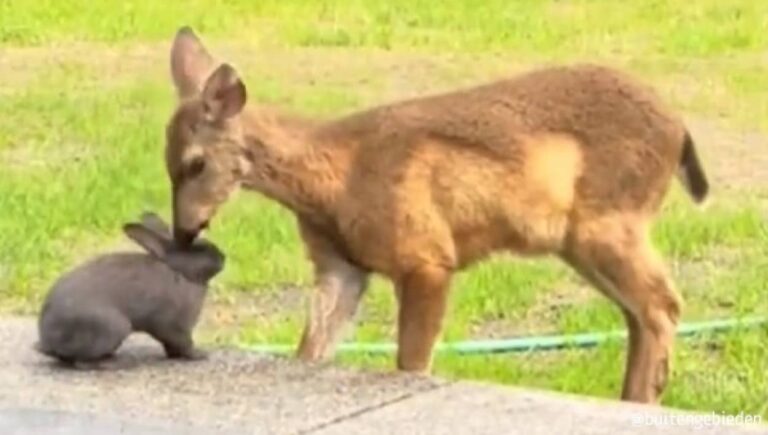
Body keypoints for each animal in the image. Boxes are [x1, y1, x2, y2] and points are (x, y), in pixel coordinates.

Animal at [162, 26, 709, 404]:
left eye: (195, 163)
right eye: (166, 161)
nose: (184, 231)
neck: (335, 181)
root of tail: (681, 131)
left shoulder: (426, 256)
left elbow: (412, 364)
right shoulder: (340, 266)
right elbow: (311, 349)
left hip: (610, 221)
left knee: (663, 304)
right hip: (580, 242)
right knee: (640, 312)